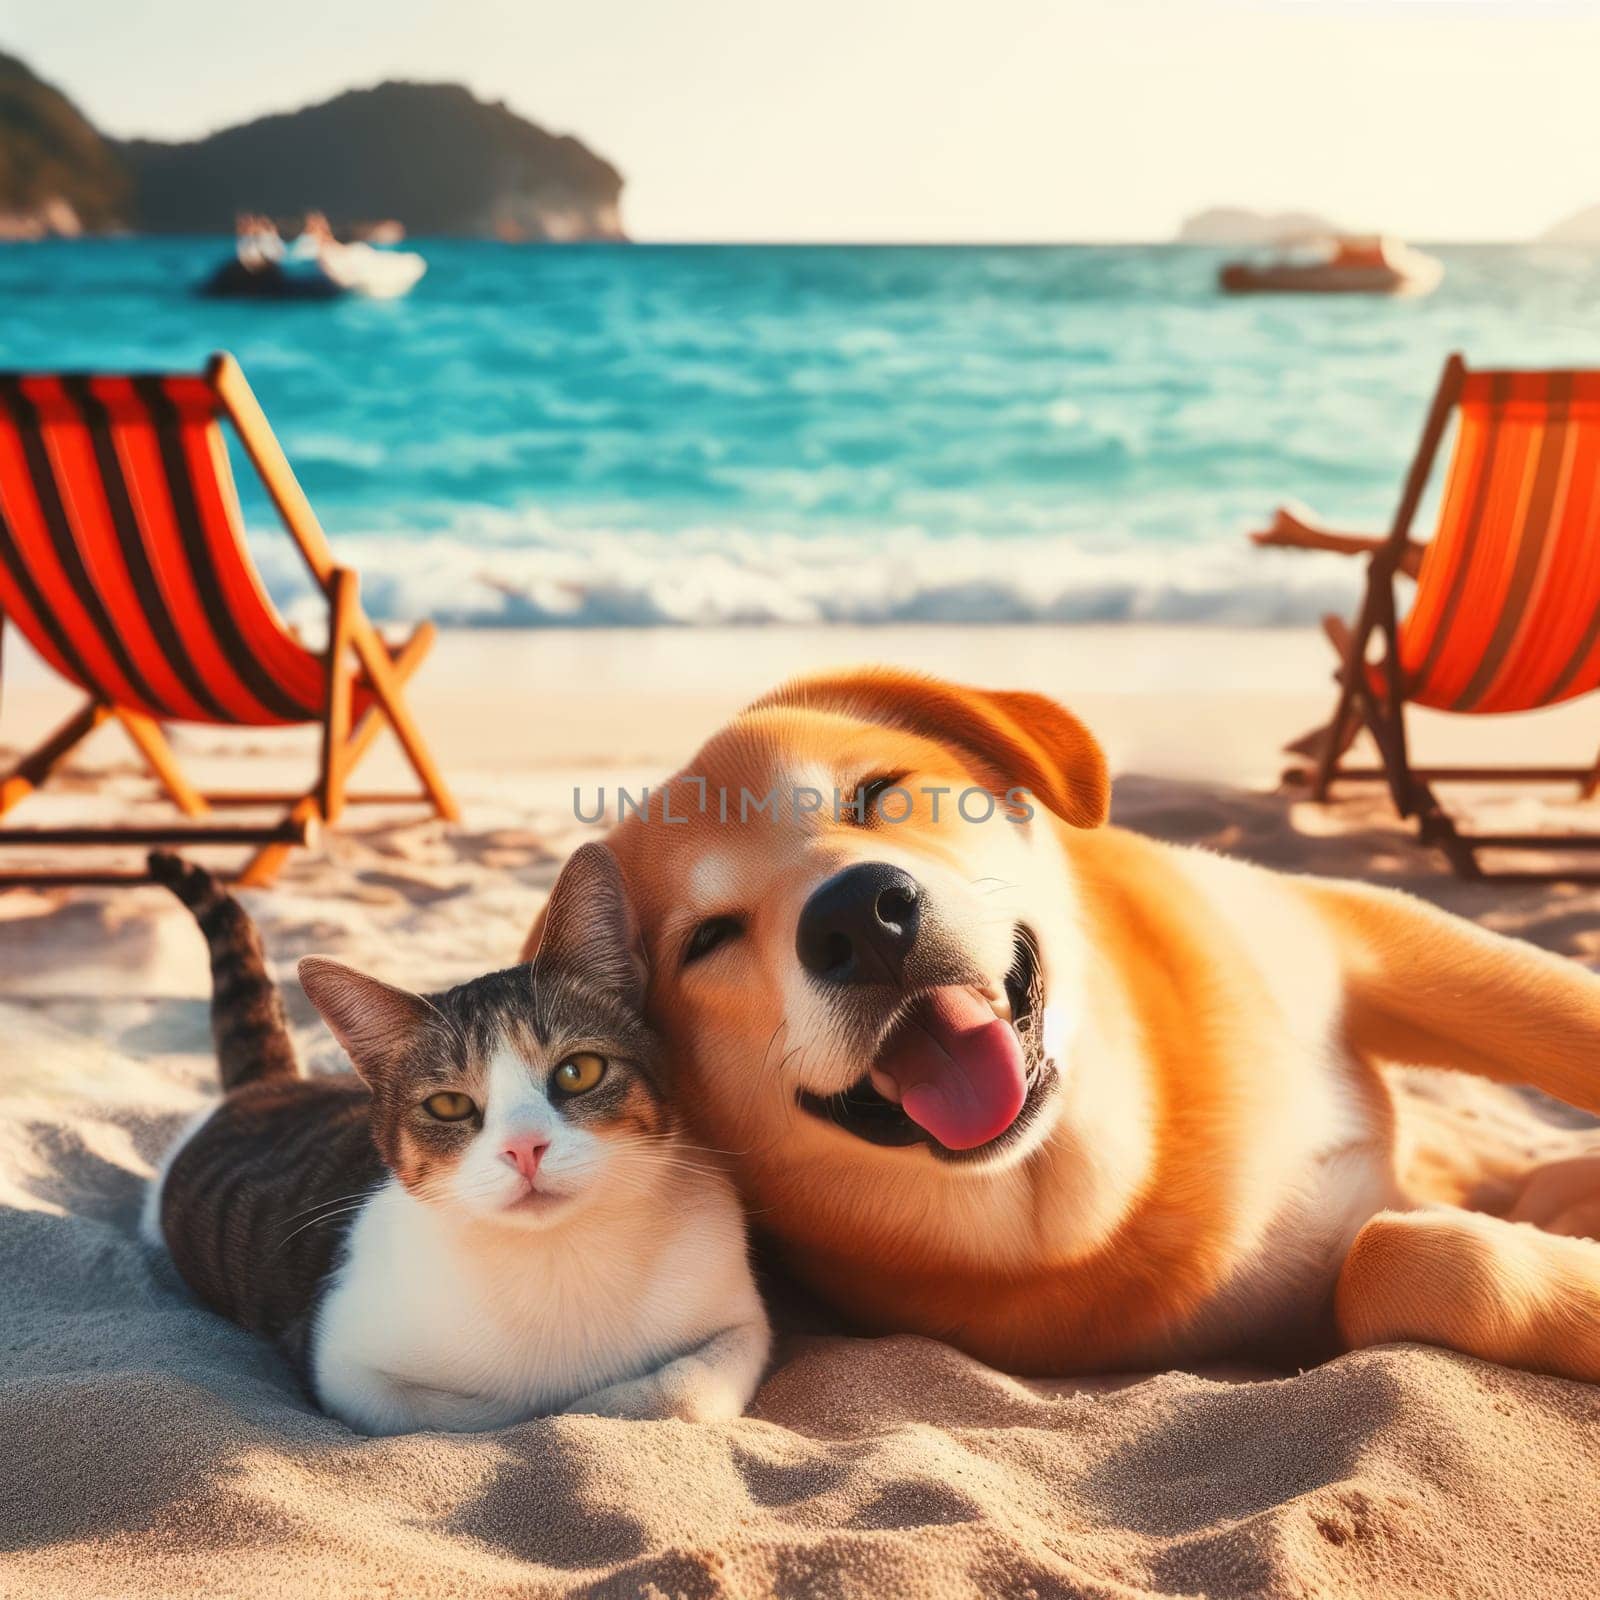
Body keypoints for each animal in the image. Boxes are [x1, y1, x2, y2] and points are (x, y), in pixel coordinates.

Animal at [137, 844, 768, 1433]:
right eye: (449, 1105)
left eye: (578, 1072)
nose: (524, 1148)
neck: (556, 1254)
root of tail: (272, 1083)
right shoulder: (341, 1360)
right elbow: (465, 1413)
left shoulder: (736, 1303)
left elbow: (690, 1387)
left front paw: (608, 1402)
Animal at [524, 668, 1600, 1382]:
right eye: (707, 939)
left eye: (875, 794)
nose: (858, 918)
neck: (1120, 1172)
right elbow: (1407, 1263)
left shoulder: (1361, 934)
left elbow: (1562, 1020)